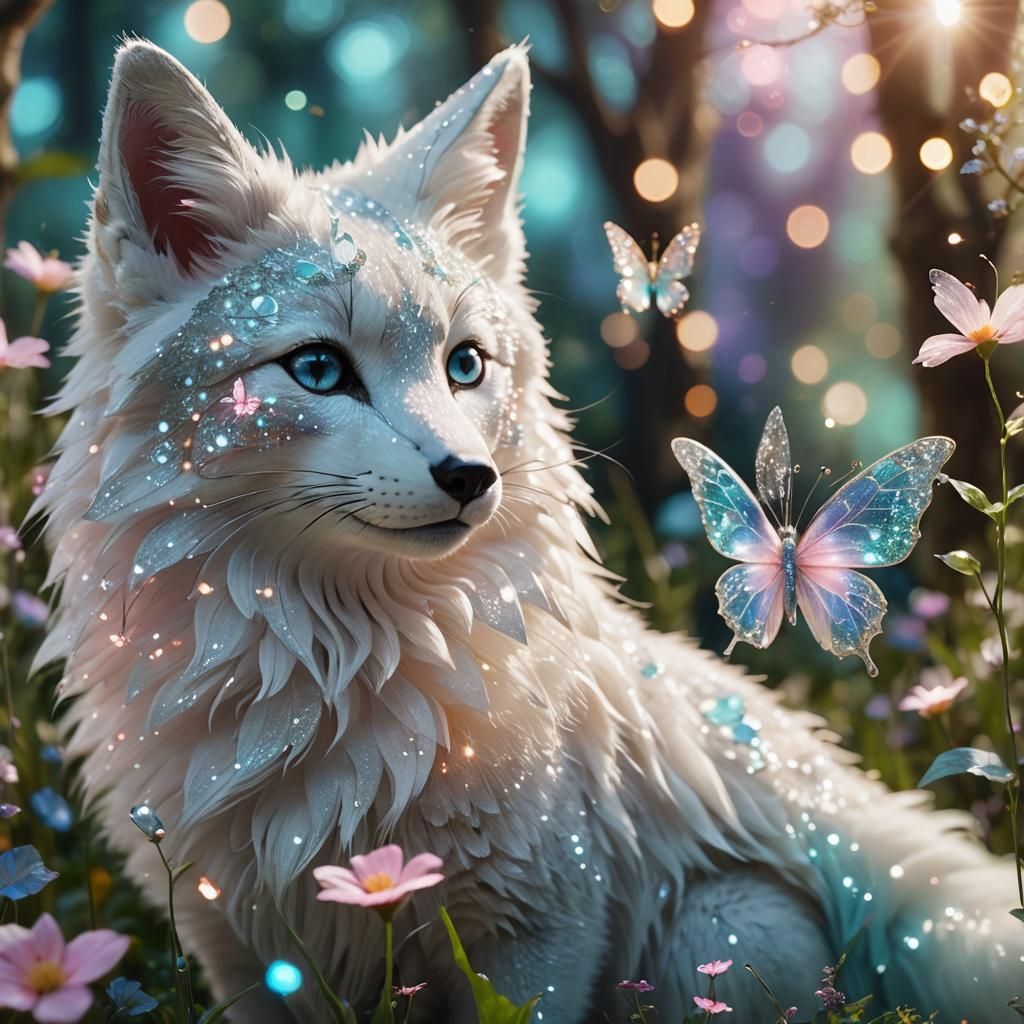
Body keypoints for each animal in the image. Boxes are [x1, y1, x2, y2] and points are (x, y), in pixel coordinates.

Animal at [33, 38, 1023, 1023]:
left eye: (465, 365)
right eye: (316, 369)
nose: (472, 478)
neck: (333, 667)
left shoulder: (539, 929)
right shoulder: (240, 953)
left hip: (717, 934)